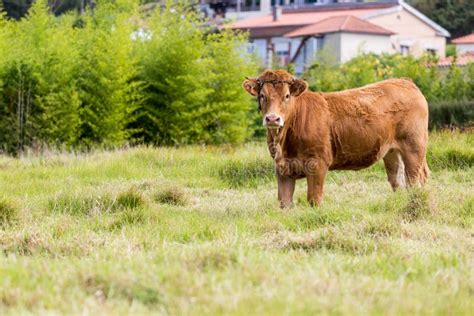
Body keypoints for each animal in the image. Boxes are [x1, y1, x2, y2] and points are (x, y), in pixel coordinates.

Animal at [244, 69, 430, 207]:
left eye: (287, 96)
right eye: (262, 95)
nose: (272, 118)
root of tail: (405, 81)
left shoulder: (317, 164)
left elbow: (314, 199)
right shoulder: (282, 169)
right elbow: (284, 203)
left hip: (414, 148)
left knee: (415, 179)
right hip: (392, 151)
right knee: (398, 181)